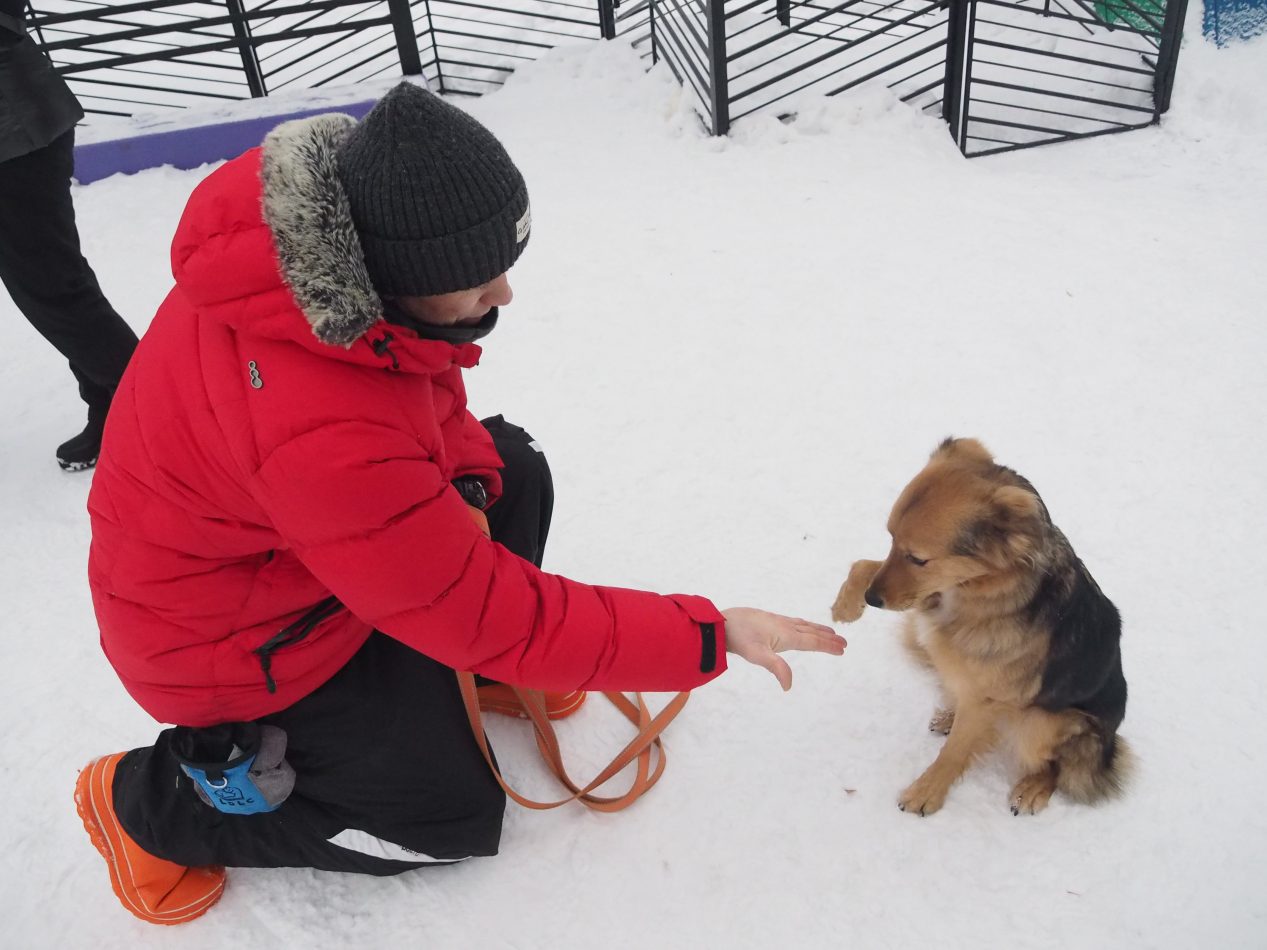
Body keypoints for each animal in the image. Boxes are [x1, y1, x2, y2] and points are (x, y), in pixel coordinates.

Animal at [831, 438, 1130, 820]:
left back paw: (1033, 787)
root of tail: (1107, 748)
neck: (980, 586)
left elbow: (955, 752)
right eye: (891, 539)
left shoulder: (984, 697)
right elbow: (865, 565)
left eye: (919, 558)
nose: (872, 599)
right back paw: (949, 714)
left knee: (1057, 767)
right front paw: (846, 604)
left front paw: (927, 792)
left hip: (1042, 721)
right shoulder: (930, 596)